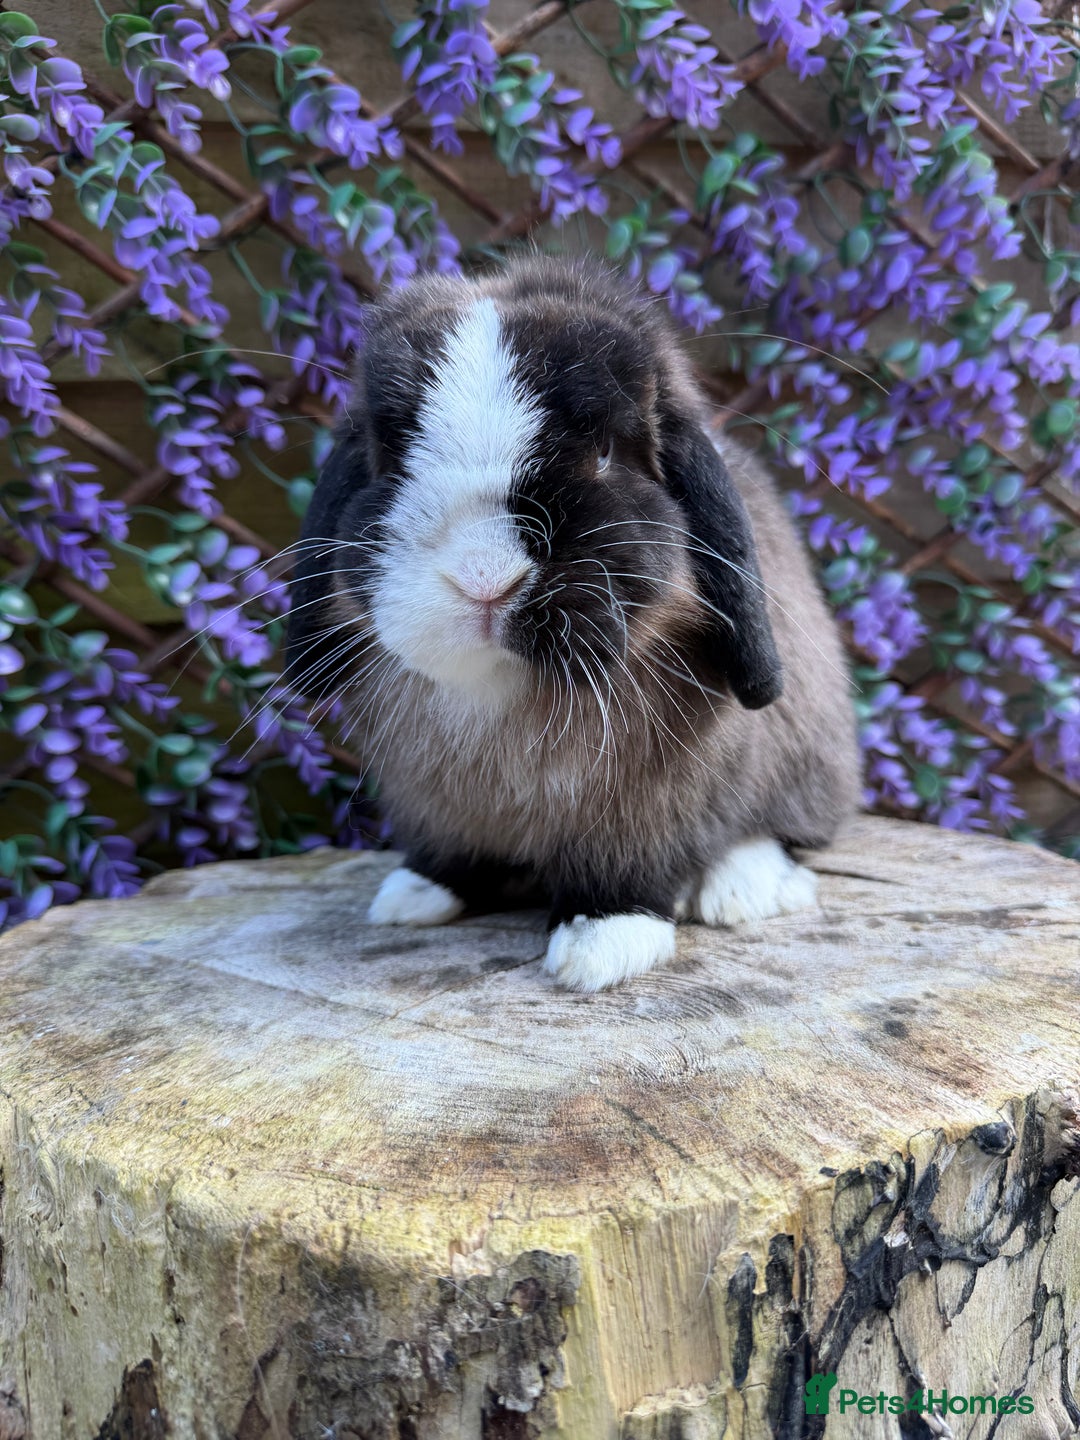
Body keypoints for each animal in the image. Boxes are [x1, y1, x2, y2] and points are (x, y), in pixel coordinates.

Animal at [286, 255, 860, 992]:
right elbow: (451, 850)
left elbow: (628, 866)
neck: (500, 693)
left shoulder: (648, 804)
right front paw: (419, 891)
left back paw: (742, 888)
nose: (484, 578)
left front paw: (602, 942)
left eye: (608, 455)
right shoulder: (433, 802)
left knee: (782, 832)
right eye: (394, 457)